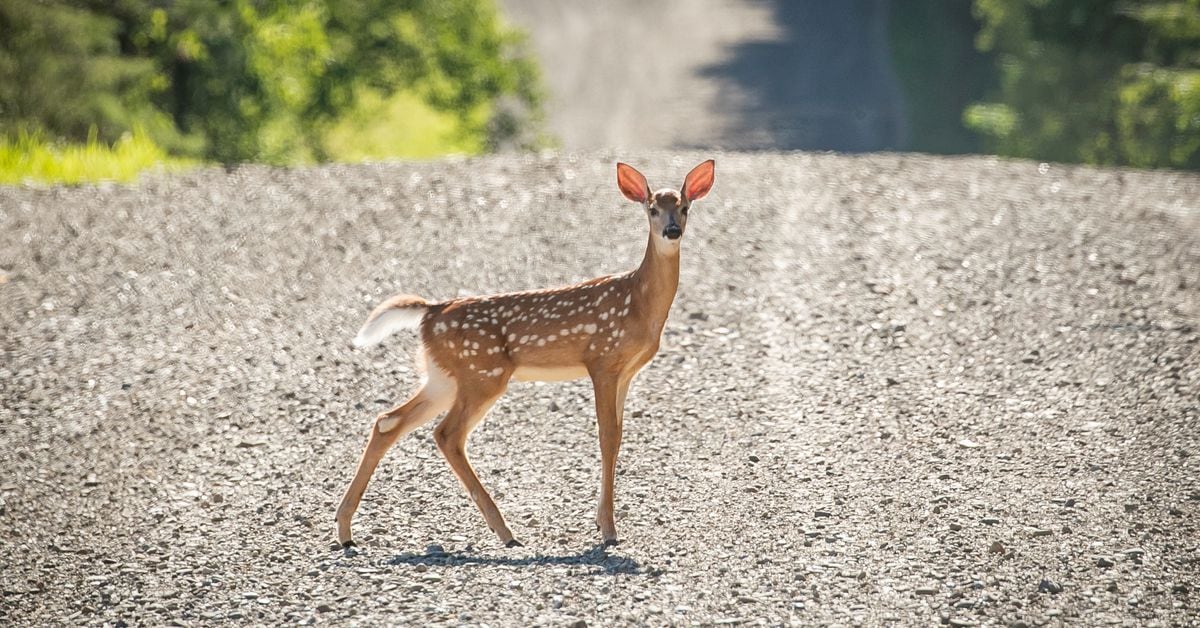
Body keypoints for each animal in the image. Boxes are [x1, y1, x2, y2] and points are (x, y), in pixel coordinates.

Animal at [333, 159, 715, 547]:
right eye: (651, 209)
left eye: (685, 207)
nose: (671, 230)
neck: (638, 302)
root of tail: (430, 312)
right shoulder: (602, 360)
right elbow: (607, 437)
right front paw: (608, 530)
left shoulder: (626, 371)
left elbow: (619, 436)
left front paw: (600, 521)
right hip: (482, 374)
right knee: (447, 434)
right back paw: (505, 531)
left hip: (443, 376)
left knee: (388, 421)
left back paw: (345, 530)